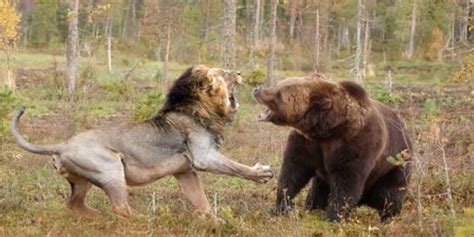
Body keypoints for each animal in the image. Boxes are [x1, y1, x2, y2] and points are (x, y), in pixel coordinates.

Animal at [12, 64, 274, 221]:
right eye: (223, 72)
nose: (239, 73)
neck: (198, 108)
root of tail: (62, 145)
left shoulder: (185, 172)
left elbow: (202, 202)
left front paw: (215, 223)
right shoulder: (203, 157)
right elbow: (235, 167)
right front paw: (261, 173)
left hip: (83, 180)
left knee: (74, 204)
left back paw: (98, 216)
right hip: (111, 169)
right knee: (120, 208)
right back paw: (140, 219)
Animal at [252, 75, 412, 222]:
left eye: (279, 92)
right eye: (279, 84)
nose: (257, 89)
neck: (328, 129)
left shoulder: (356, 142)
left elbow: (346, 181)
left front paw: (334, 217)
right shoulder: (308, 143)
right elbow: (293, 170)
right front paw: (280, 206)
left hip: (394, 165)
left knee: (388, 195)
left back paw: (387, 217)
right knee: (317, 191)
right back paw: (313, 207)